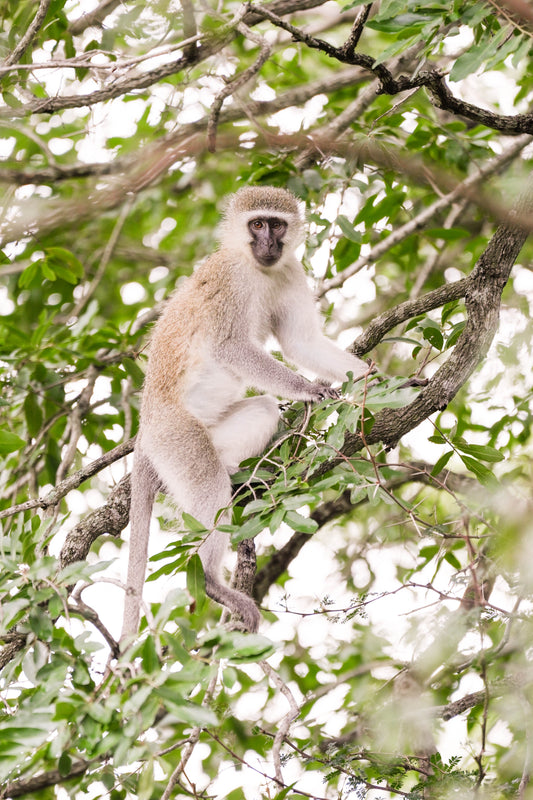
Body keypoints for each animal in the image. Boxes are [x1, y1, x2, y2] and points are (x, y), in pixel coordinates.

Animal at [121, 185, 371, 639]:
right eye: (256, 224)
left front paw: (374, 377)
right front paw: (310, 389)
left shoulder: (289, 271)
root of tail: (145, 437)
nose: (269, 244)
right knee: (206, 482)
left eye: (277, 224)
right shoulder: (229, 280)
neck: (256, 268)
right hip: (175, 436)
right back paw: (213, 580)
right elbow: (231, 347)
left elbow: (302, 341)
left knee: (262, 411)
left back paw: (236, 475)